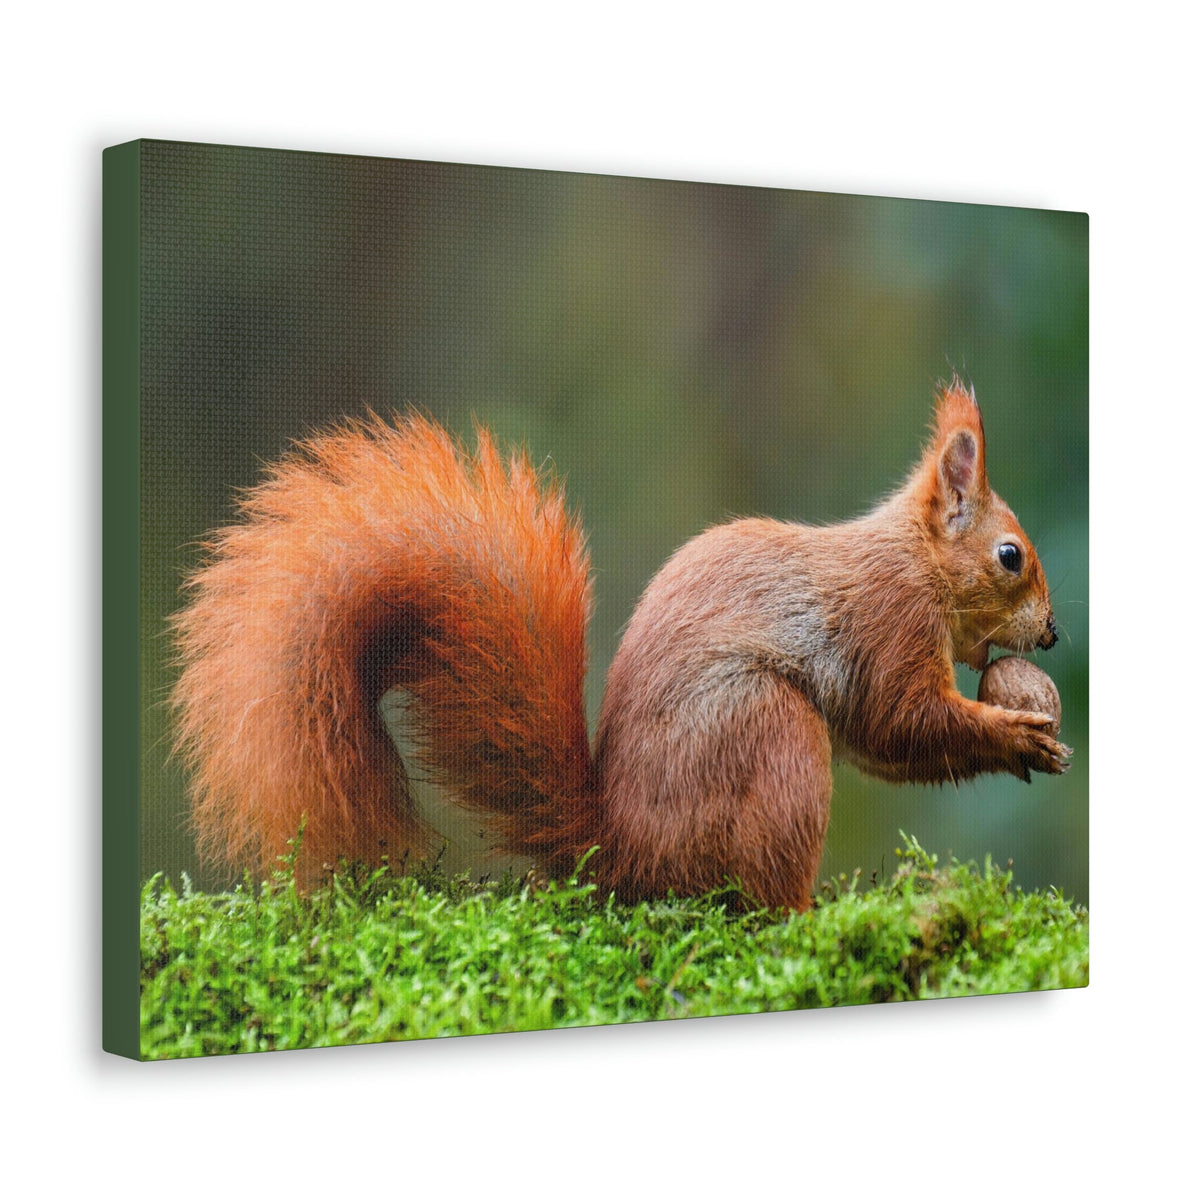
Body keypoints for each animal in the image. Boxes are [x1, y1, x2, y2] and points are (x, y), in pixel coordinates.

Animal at [171, 378, 1070, 910]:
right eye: (1010, 556)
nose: (1055, 632)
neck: (915, 563)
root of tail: (619, 853)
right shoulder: (889, 626)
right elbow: (902, 720)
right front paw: (1015, 734)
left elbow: (889, 746)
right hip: (765, 731)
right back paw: (804, 915)